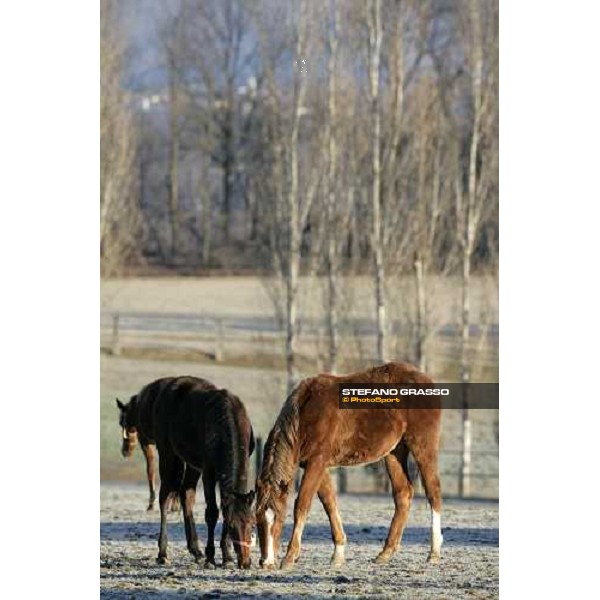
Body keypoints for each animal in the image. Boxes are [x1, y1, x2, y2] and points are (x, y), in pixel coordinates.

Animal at [147, 378, 255, 568]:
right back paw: (163, 553)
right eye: (232, 527)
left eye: (251, 525)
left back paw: (196, 551)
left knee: (186, 494)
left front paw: (227, 557)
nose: (245, 562)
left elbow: (224, 508)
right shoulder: (209, 473)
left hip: (193, 465)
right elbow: (212, 513)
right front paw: (211, 557)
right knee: (165, 497)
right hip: (169, 454)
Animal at [255, 360, 442, 572]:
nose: (266, 562)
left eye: (279, 518)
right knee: (403, 495)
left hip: (422, 445)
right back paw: (385, 553)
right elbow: (329, 502)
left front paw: (290, 557)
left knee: (433, 491)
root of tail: (424, 379)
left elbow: (302, 504)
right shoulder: (315, 465)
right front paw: (338, 553)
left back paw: (434, 553)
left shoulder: (317, 462)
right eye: (257, 520)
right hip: (394, 452)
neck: (306, 412)